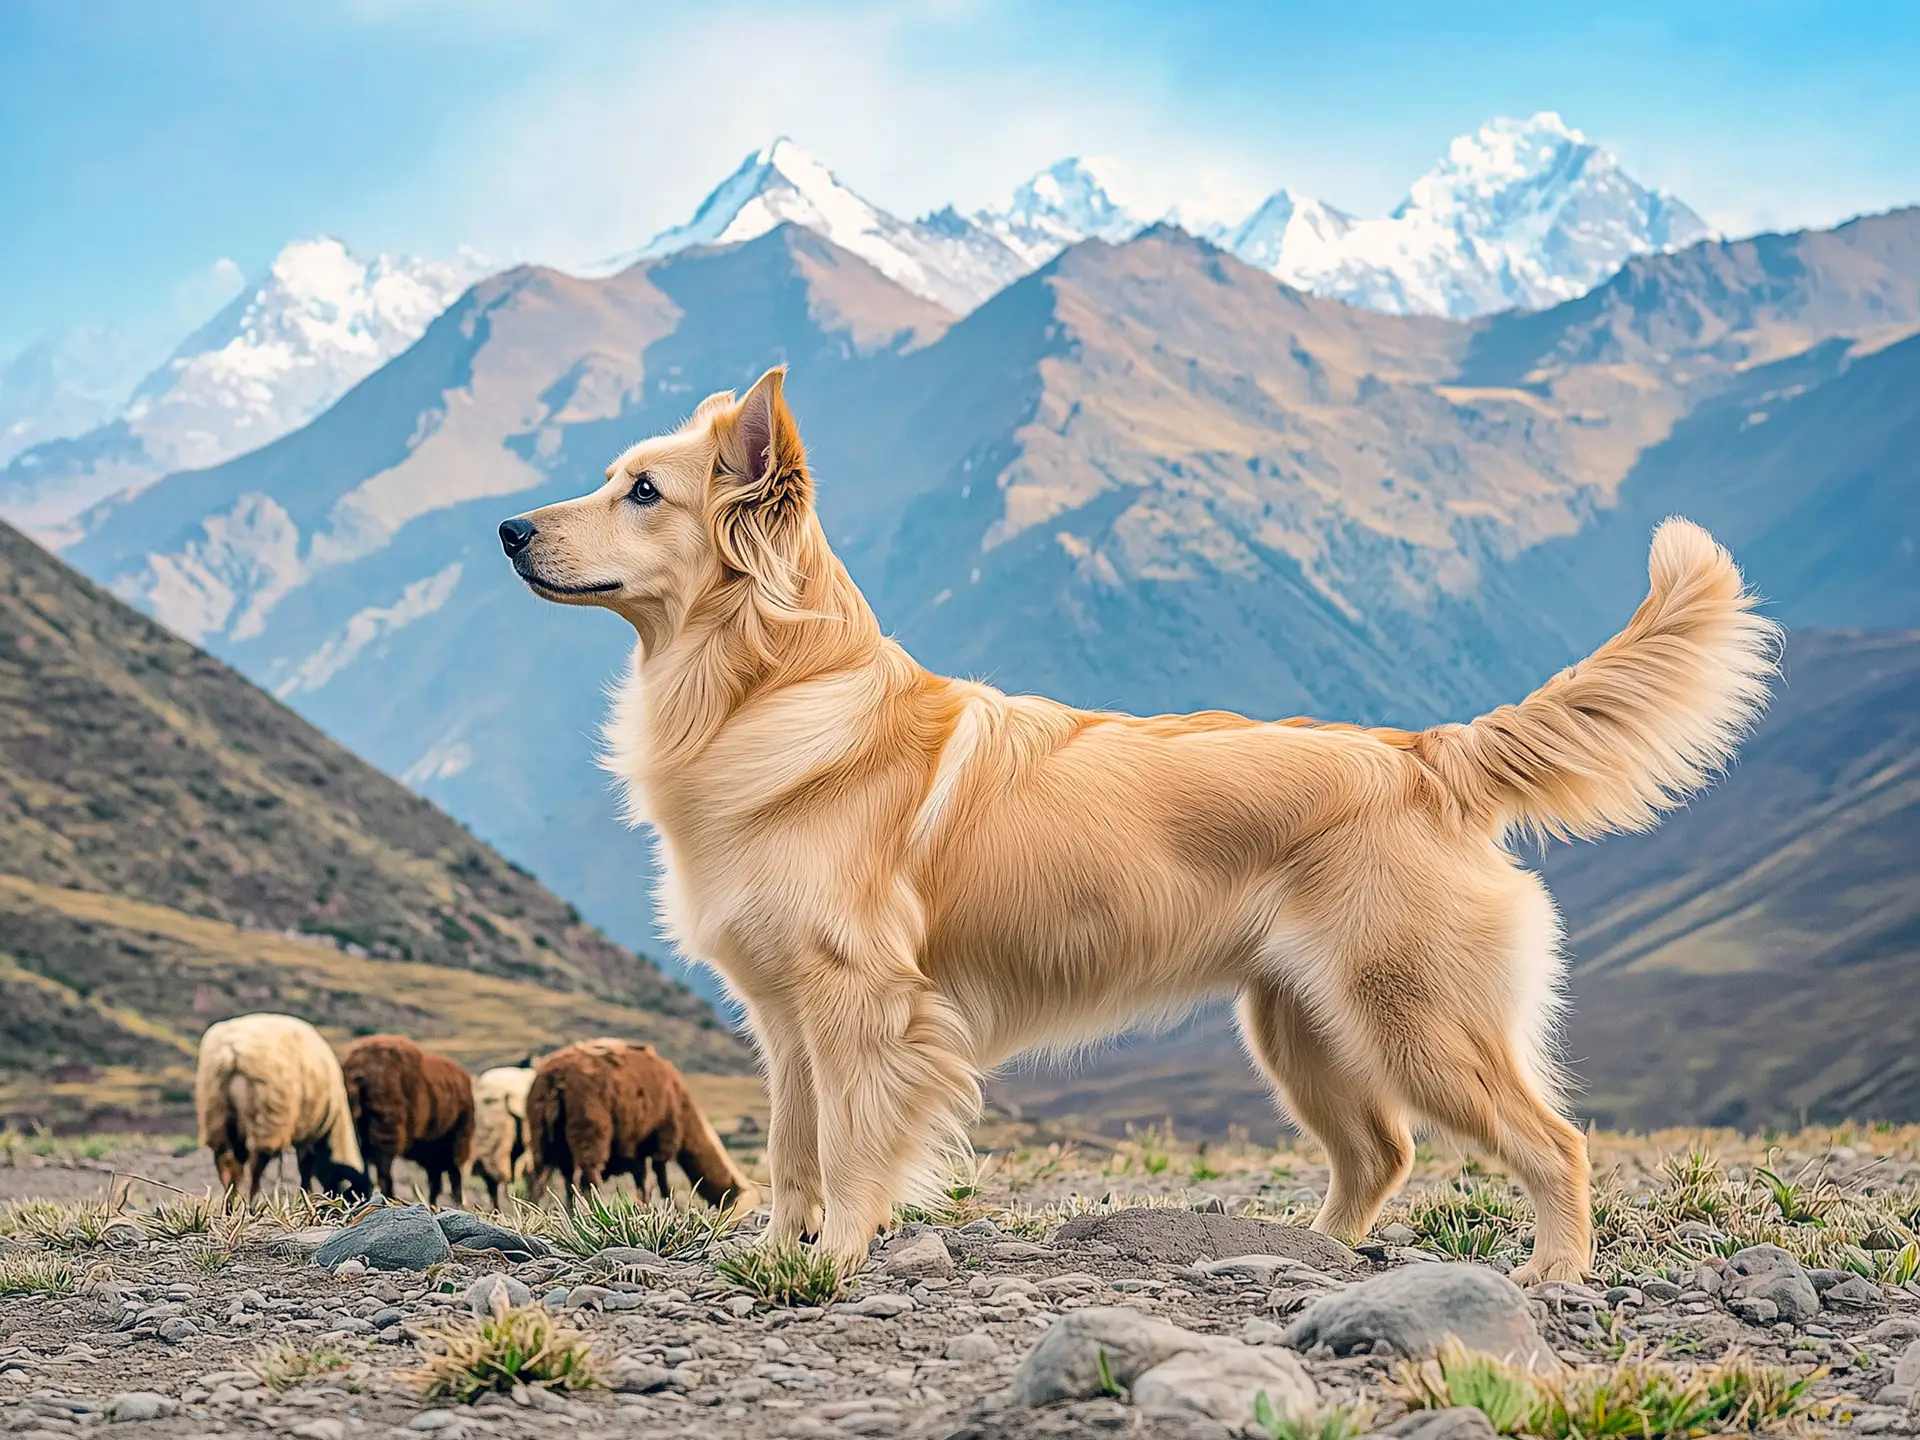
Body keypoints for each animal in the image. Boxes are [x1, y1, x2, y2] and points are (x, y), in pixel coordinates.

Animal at [194, 1013, 370, 1205]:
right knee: (257, 1162)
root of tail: (231, 1051)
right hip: (270, 1113)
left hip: (216, 1110)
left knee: (226, 1161)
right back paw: (252, 1203)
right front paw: (306, 1197)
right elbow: (306, 1167)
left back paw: (230, 1205)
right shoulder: (308, 1135)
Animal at [537, 1036, 760, 1221]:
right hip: (589, 1129)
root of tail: (556, 1079)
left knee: (547, 1181)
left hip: (543, 1136)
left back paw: (564, 1212)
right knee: (588, 1178)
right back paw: (593, 1210)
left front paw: (644, 1208)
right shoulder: (664, 1137)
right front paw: (670, 1207)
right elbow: (662, 1179)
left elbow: (642, 1181)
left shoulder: (636, 1148)